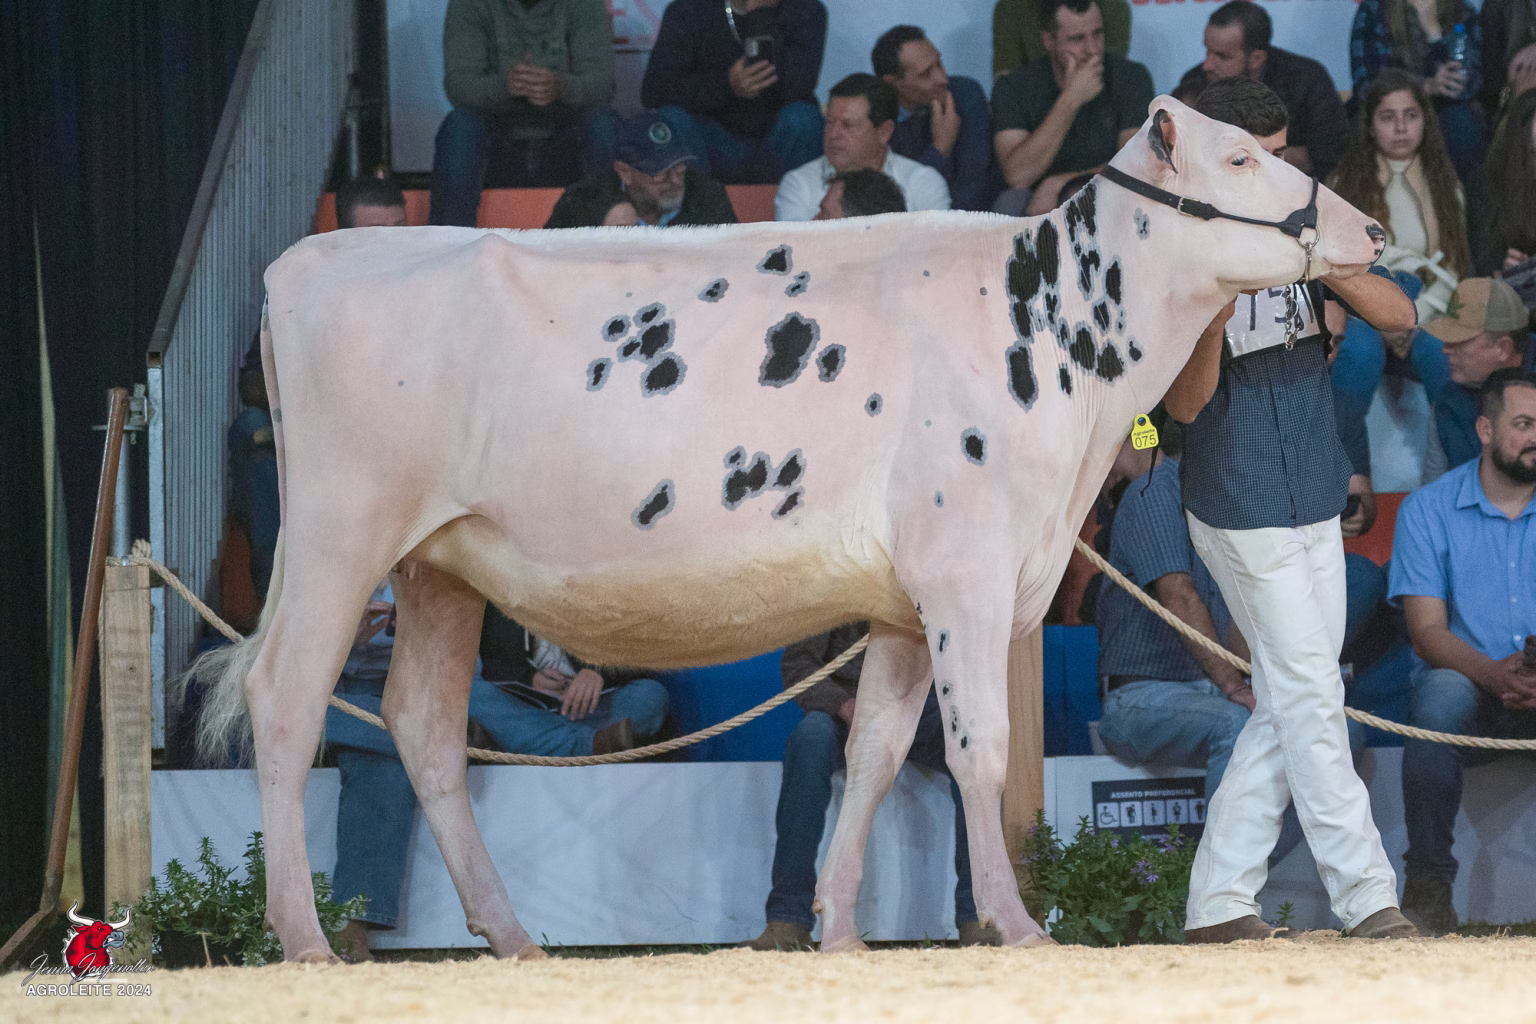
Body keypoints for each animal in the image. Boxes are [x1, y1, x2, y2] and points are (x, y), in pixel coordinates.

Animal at [194, 96, 1385, 962]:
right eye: (1242, 159)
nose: (1371, 228)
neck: (1059, 338)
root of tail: (307, 261)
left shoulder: (904, 600)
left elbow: (874, 754)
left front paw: (843, 930)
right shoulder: (967, 569)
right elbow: (980, 750)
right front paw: (1014, 925)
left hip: (440, 560)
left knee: (426, 728)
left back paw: (515, 939)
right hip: (343, 530)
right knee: (289, 700)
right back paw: (305, 940)